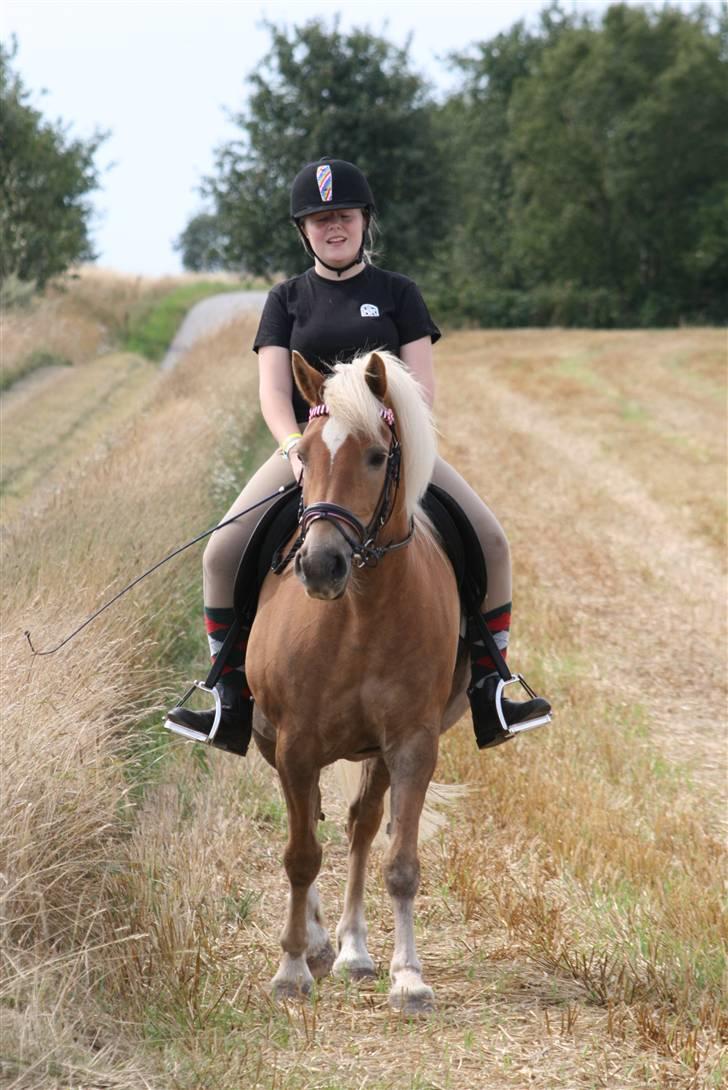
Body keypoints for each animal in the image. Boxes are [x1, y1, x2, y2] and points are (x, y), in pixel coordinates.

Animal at [244, 348, 468, 1011]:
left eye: (375, 455)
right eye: (306, 452)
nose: (321, 566)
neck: (361, 614)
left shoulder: (413, 743)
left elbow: (400, 862)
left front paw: (409, 976)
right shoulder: (294, 745)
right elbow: (299, 855)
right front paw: (292, 967)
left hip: (376, 752)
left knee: (360, 826)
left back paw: (354, 950)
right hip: (273, 738)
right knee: (309, 823)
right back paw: (319, 943)